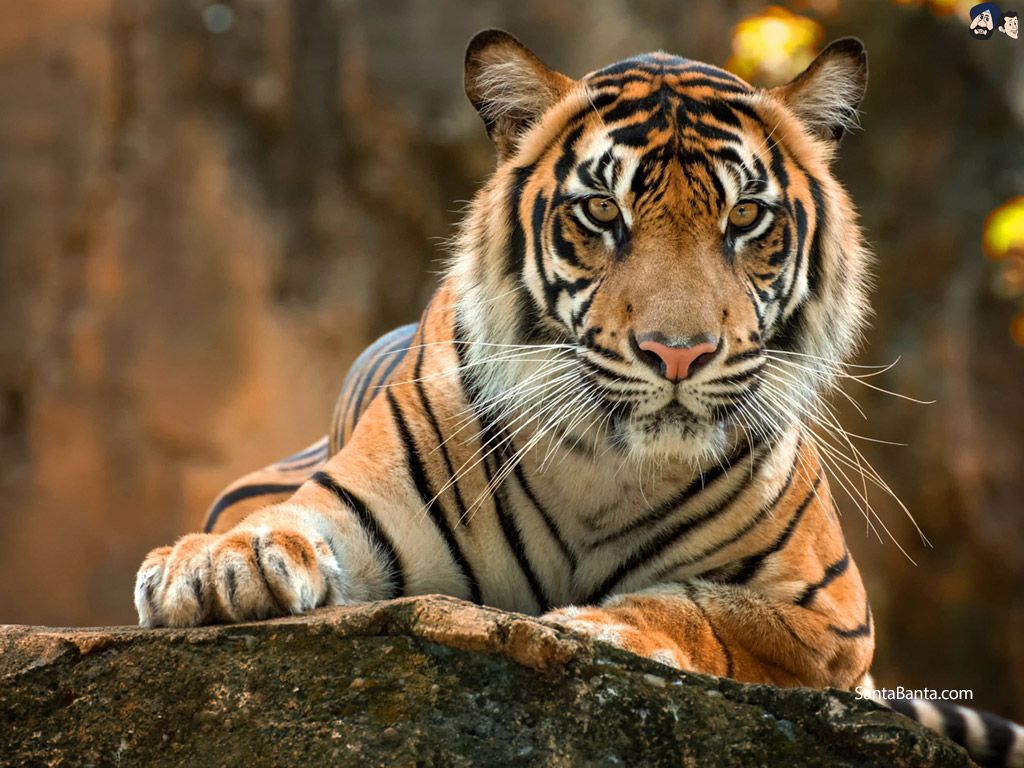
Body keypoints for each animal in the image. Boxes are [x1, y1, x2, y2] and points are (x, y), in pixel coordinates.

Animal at [134, 30, 1024, 767]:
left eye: (745, 216)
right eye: (602, 211)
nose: (678, 352)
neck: (607, 463)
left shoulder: (828, 615)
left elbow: (704, 610)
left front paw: (603, 626)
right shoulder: (354, 504)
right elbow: (284, 524)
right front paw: (213, 566)